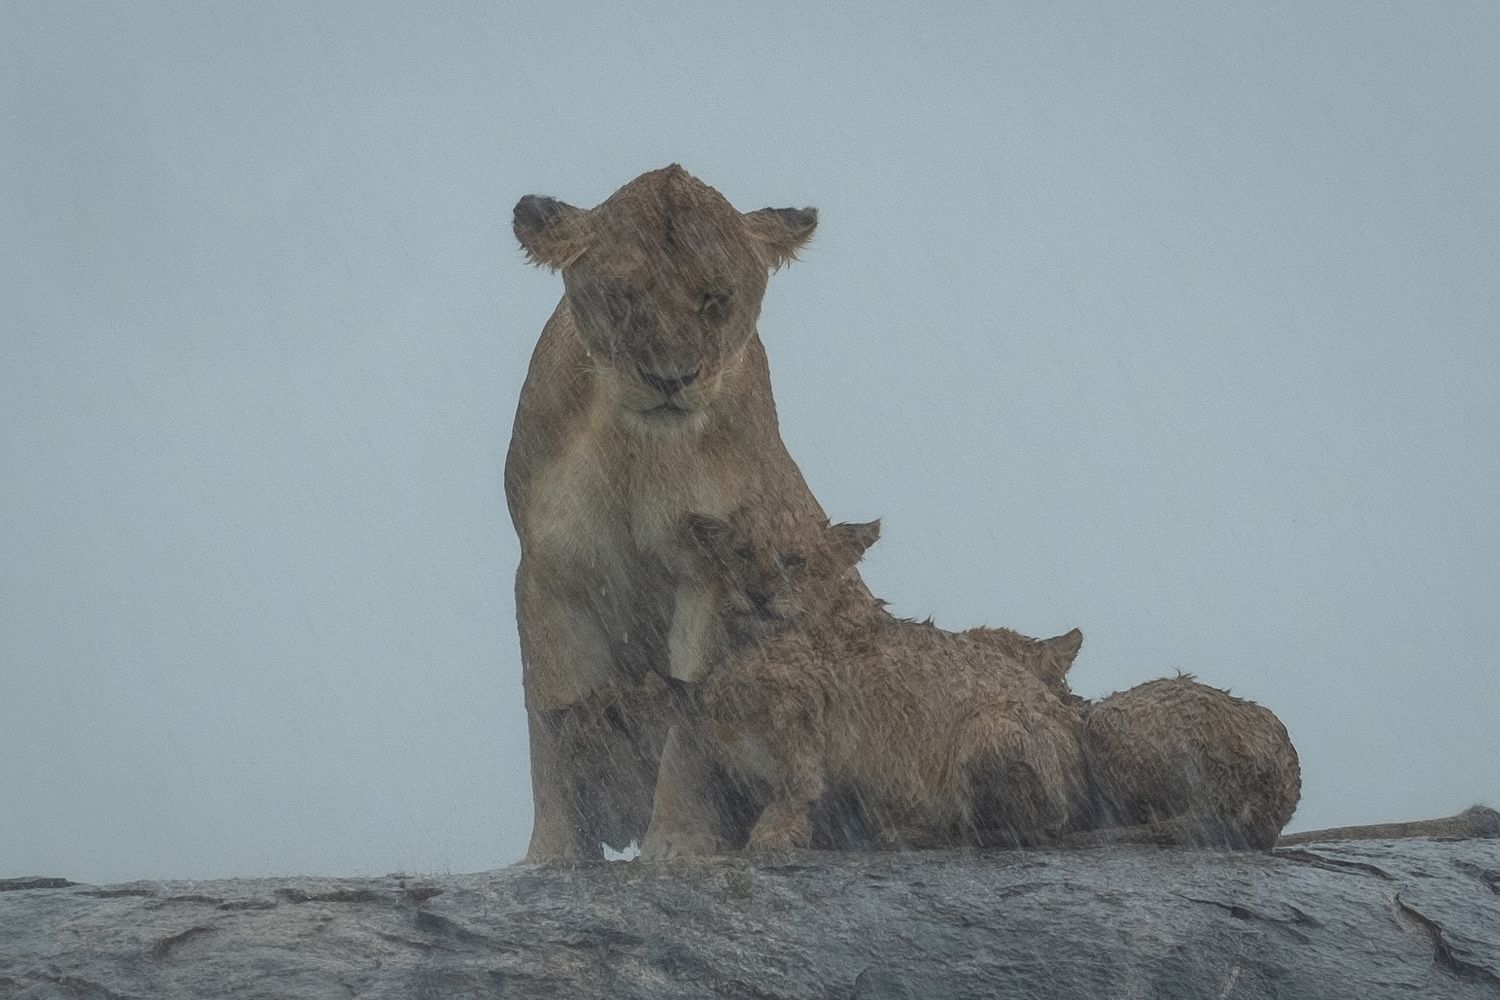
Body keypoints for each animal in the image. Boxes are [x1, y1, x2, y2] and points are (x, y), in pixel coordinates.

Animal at [507, 165, 839, 862]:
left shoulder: (713, 571)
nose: (669, 378)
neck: (635, 446)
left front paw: (680, 842)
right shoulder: (549, 572)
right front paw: (553, 852)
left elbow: (688, 715)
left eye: (714, 298)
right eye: (624, 295)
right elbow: (549, 717)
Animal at [641, 505, 1090, 854]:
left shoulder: (807, 703)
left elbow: (798, 780)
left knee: (1012, 827)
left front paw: (777, 831)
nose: (757, 594)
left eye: (794, 560)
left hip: (989, 729)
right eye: (742, 554)